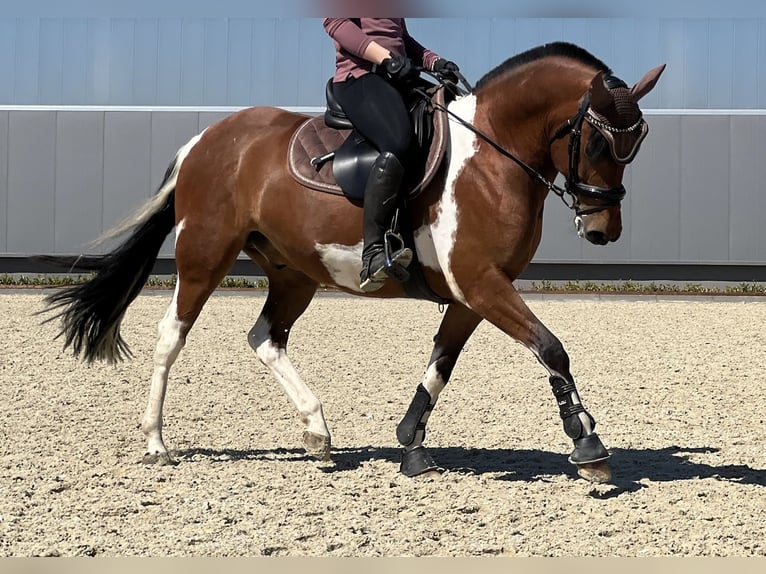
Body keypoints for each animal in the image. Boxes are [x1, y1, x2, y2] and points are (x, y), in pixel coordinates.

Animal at [42, 42, 664, 486]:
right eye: (600, 144)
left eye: (637, 145)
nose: (603, 231)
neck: (490, 156)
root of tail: (206, 139)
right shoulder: (483, 283)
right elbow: (551, 347)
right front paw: (587, 444)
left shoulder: (476, 292)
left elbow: (441, 363)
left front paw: (411, 444)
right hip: (204, 255)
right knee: (171, 338)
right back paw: (156, 443)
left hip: (293, 273)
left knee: (266, 337)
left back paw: (317, 431)